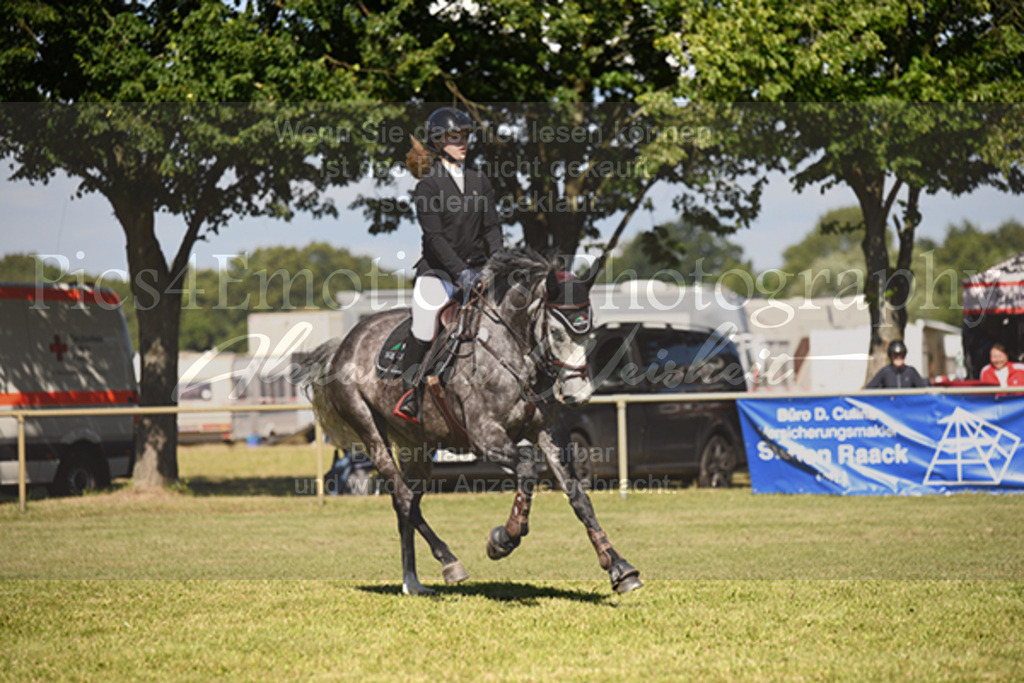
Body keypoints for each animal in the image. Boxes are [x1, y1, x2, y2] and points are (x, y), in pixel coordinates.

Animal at [303, 248, 638, 593]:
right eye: (557, 333)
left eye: (590, 333)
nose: (578, 394)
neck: (514, 351)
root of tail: (344, 344)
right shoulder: (486, 436)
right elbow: (527, 469)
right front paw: (505, 537)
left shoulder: (548, 432)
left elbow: (578, 496)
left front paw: (619, 567)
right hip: (369, 429)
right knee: (404, 495)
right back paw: (450, 562)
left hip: (417, 446)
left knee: (406, 503)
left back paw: (413, 582)